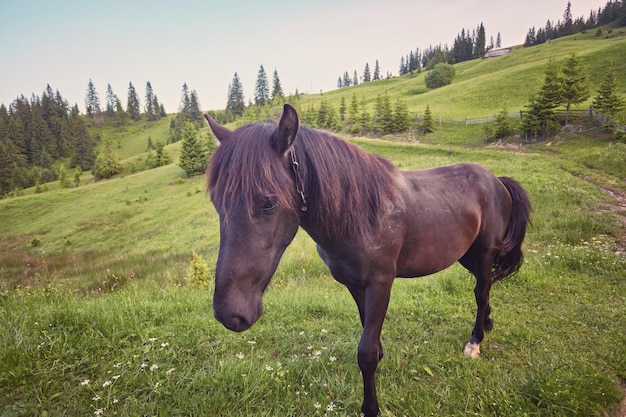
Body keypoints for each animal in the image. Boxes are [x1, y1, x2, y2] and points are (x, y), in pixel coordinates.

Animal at [202, 101, 528, 416]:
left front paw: (371, 408)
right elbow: (371, 340)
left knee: (481, 292)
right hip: (466, 255)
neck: (358, 215)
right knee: (484, 290)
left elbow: (366, 353)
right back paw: (487, 323)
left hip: (484, 253)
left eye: (268, 202)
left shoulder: (380, 284)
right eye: (216, 202)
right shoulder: (355, 286)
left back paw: (475, 341)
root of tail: (495, 180)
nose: (229, 314)